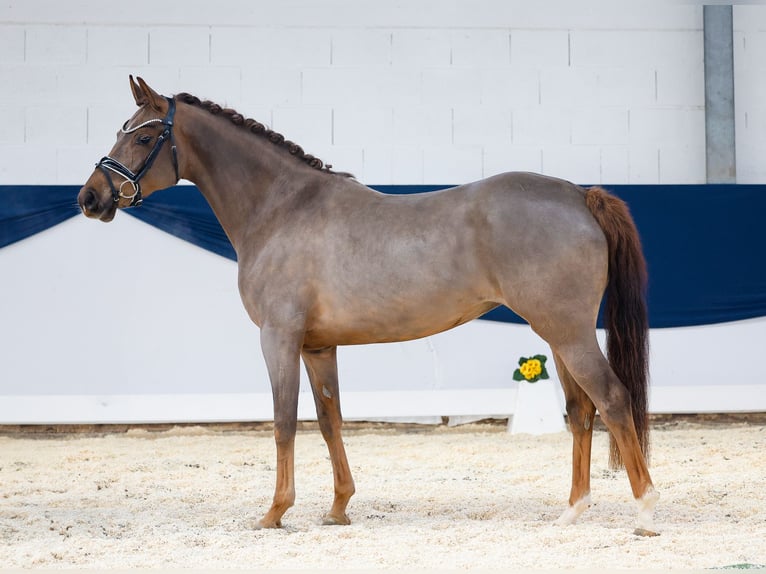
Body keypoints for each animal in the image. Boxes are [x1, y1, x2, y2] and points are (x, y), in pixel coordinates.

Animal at [81, 76, 664, 536]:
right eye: (122, 128)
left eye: (146, 134)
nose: (91, 198)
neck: (281, 208)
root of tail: (578, 195)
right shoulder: (318, 347)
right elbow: (330, 419)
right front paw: (338, 508)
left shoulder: (278, 338)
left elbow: (284, 421)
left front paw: (274, 513)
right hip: (556, 334)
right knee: (582, 411)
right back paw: (573, 511)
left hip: (567, 332)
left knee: (614, 401)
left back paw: (645, 512)